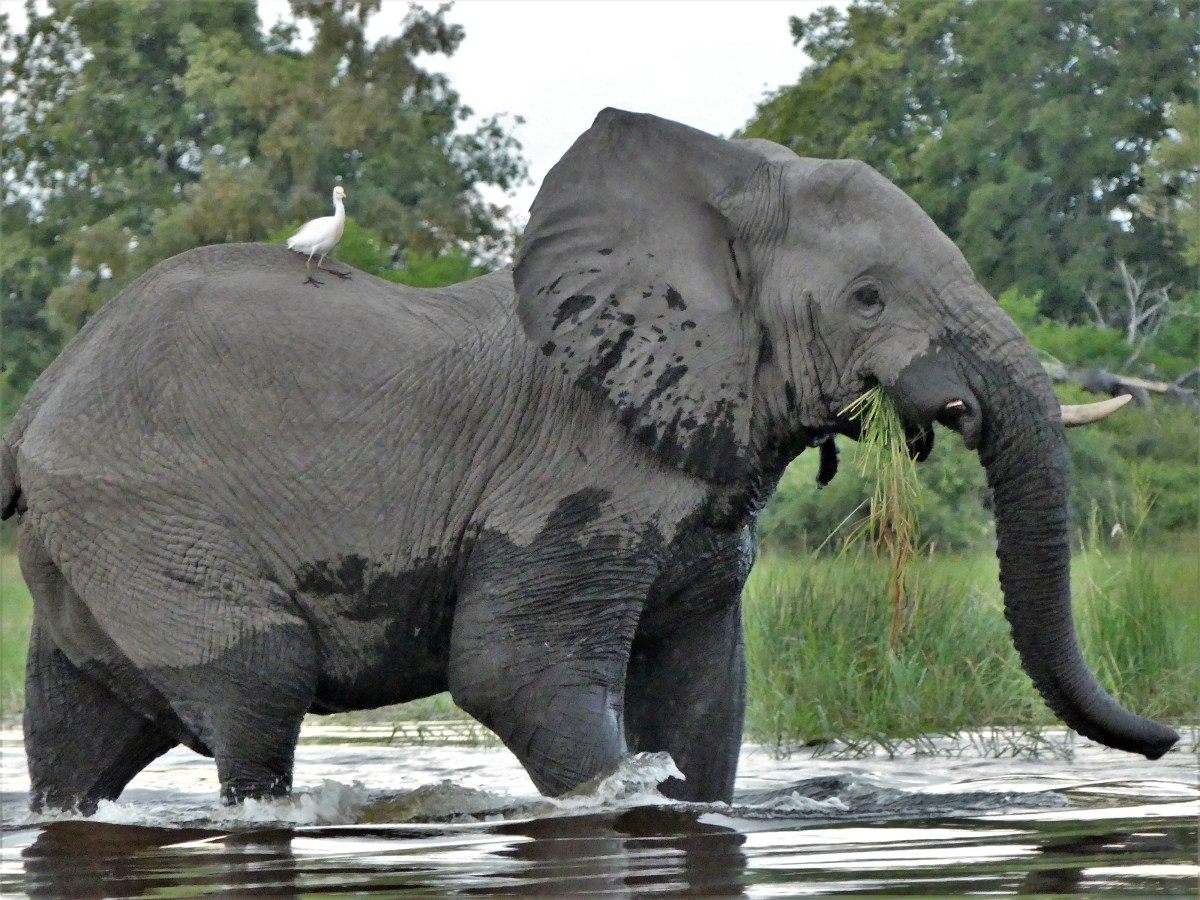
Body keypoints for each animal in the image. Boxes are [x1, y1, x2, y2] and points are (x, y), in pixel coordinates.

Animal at [0, 109, 1178, 815]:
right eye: (868, 297)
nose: (1169, 738)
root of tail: (39, 398)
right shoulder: (569, 477)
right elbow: (514, 672)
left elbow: (704, 693)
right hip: (144, 521)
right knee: (256, 686)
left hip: (89, 551)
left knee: (78, 733)